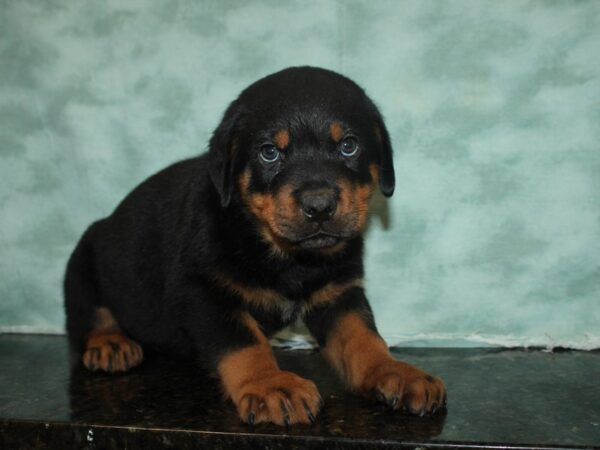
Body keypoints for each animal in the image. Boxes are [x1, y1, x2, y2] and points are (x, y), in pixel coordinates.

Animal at [64, 66, 446, 426]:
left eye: (348, 146)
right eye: (269, 153)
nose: (320, 206)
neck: (290, 256)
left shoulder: (340, 292)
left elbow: (363, 337)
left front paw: (396, 372)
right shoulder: (202, 291)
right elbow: (244, 342)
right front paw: (271, 386)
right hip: (83, 259)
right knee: (88, 313)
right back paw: (110, 343)